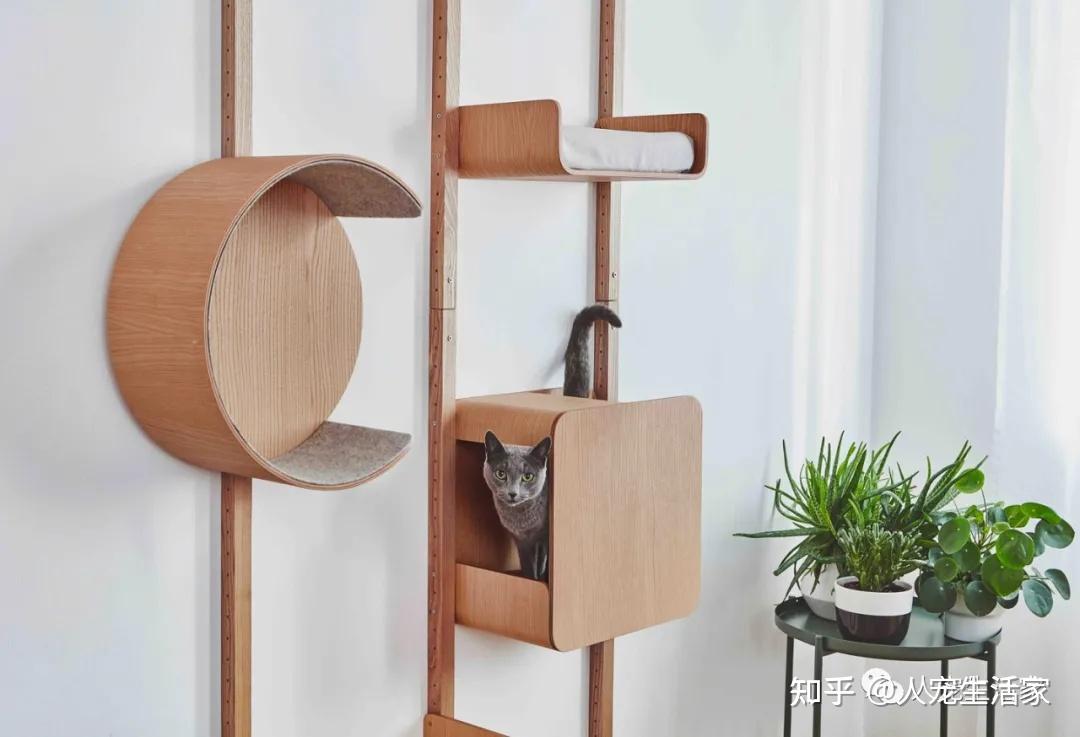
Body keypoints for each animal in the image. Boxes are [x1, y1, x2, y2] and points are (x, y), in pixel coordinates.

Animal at [482, 305, 623, 581]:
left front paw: (544, 579)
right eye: (501, 473)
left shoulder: (545, 539)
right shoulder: (521, 541)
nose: (513, 492)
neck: (522, 519)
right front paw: (531, 579)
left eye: (527, 476)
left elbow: (546, 564)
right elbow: (528, 568)